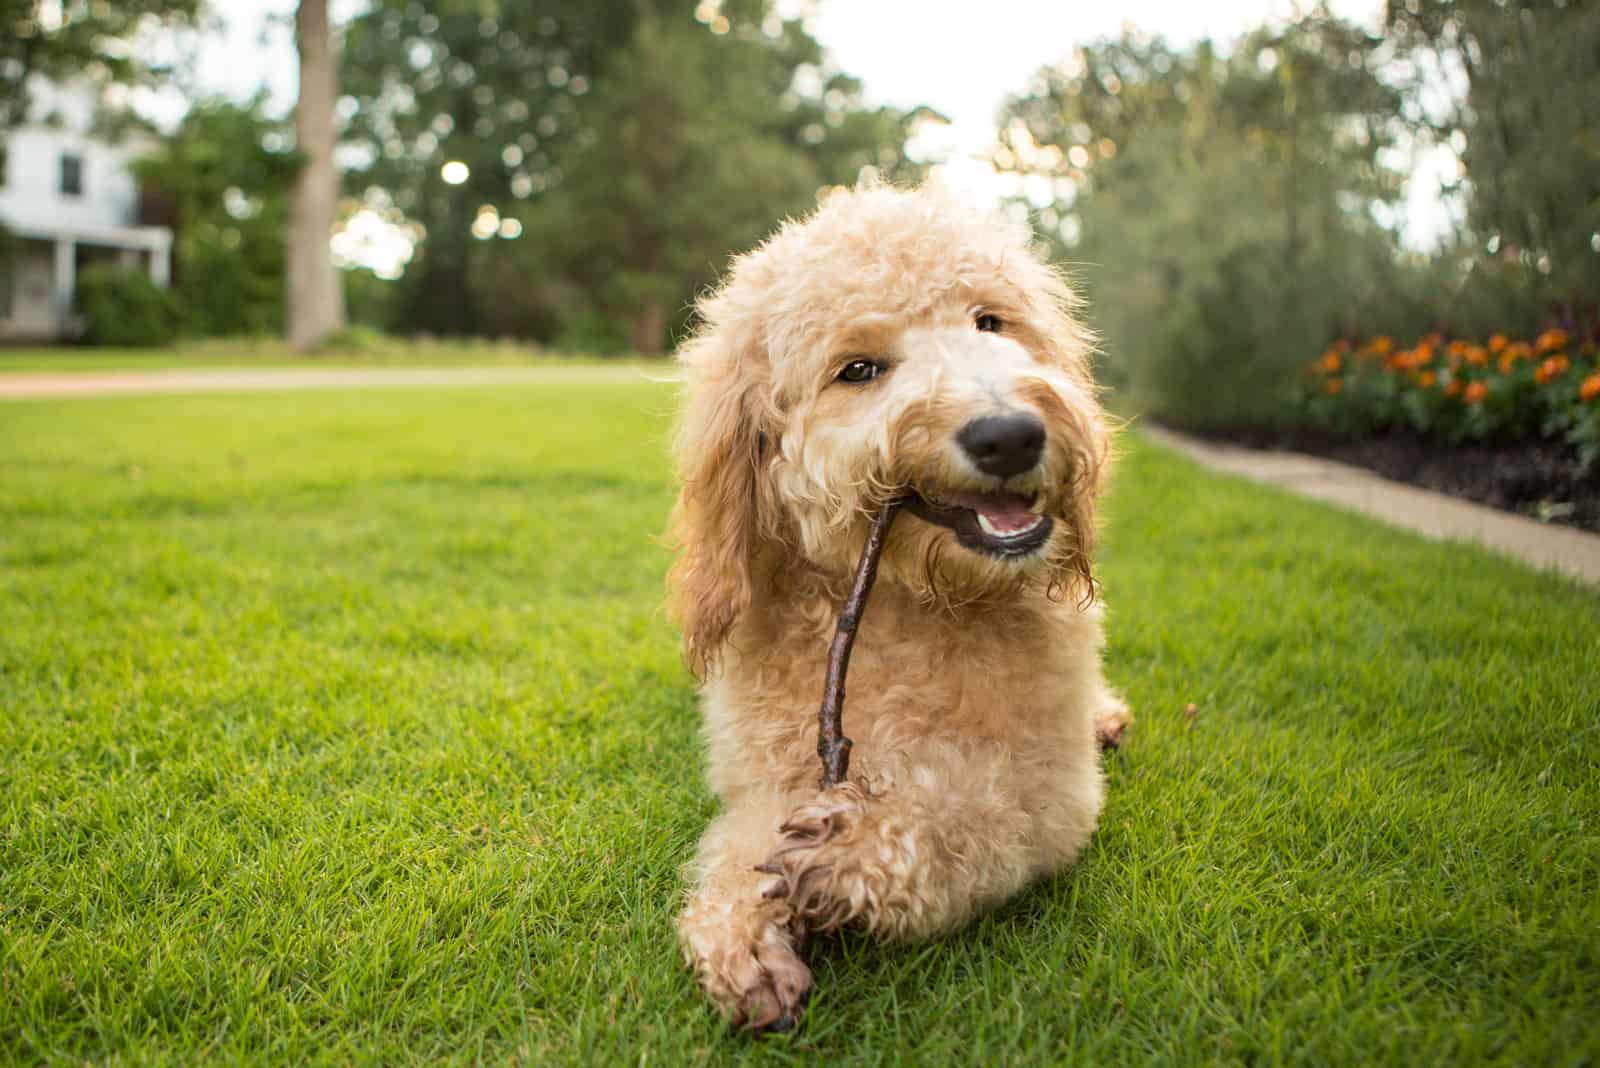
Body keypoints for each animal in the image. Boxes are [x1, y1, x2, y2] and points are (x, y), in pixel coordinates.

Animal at [662, 181, 1126, 1023]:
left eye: (989, 322)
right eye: (859, 369)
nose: (1009, 435)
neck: (908, 605)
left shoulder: (1054, 791)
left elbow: (978, 817)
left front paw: (857, 850)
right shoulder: (766, 778)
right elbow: (740, 847)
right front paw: (742, 931)